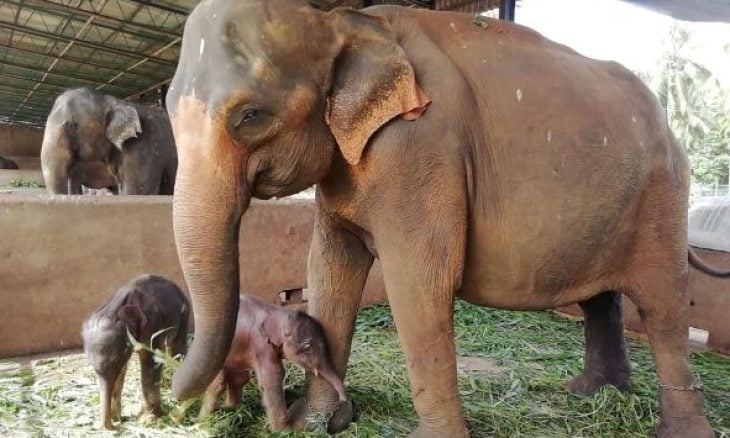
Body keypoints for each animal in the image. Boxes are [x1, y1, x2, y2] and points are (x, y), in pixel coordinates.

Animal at [82, 274, 190, 430]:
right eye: (91, 366)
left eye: (115, 360)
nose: (116, 426)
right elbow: (122, 370)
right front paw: (117, 418)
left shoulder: (152, 323)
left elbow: (150, 362)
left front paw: (148, 420)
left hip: (184, 314)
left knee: (177, 349)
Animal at [198, 295, 346, 431]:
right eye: (308, 347)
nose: (343, 400)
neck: (278, 312)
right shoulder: (261, 344)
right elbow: (272, 377)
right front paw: (282, 431)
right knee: (218, 383)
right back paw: (203, 421)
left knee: (239, 378)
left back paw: (233, 408)